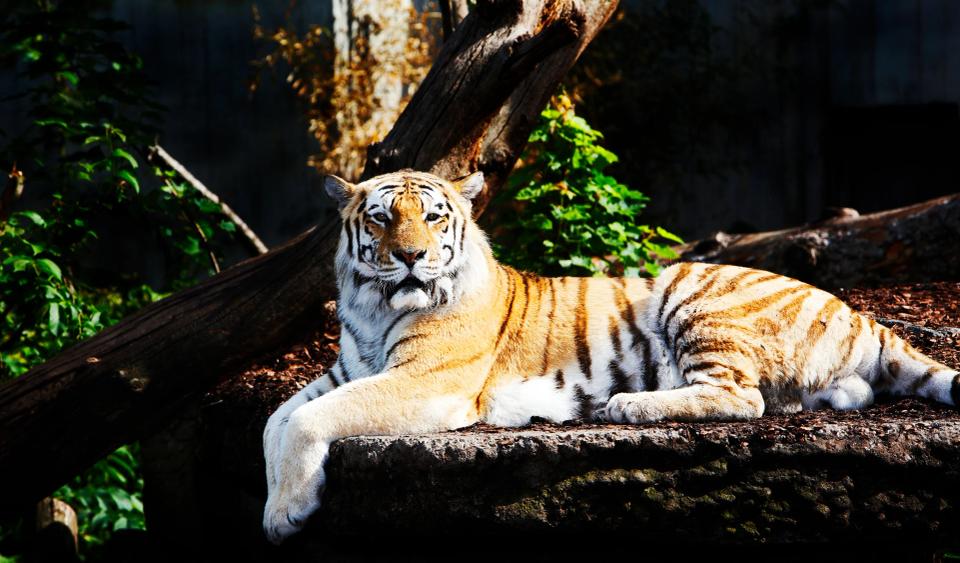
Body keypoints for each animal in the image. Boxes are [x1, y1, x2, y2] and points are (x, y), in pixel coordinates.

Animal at [262, 169, 960, 544]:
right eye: (381, 220)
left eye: (434, 218)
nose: (410, 257)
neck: (374, 309)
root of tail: (860, 311)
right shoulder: (345, 372)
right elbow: (275, 422)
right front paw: (277, 502)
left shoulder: (425, 382)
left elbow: (307, 420)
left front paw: (287, 512)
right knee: (826, 394)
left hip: (689, 289)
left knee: (743, 397)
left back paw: (626, 404)